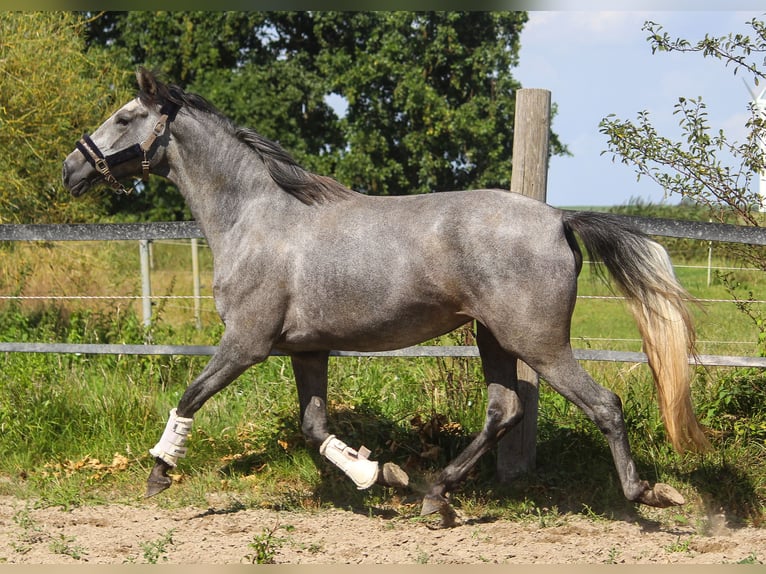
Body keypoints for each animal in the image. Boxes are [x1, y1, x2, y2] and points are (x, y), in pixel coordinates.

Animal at [63, 68, 712, 528]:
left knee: (603, 404)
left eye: (124, 116)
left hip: (539, 342)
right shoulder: (308, 350)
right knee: (504, 411)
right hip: (493, 337)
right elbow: (314, 428)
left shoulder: (245, 342)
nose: (72, 168)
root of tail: (558, 219)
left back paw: (648, 493)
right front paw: (380, 475)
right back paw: (434, 495)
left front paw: (158, 472)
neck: (254, 219)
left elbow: (191, 395)